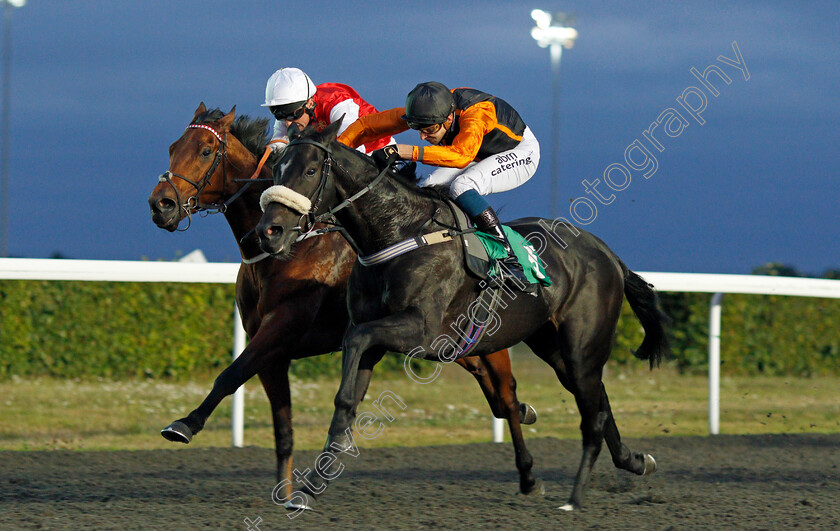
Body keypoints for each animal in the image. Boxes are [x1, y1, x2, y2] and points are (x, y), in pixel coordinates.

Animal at [146, 103, 540, 508]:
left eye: (206, 150)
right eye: (173, 148)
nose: (161, 204)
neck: (288, 251)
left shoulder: (282, 326)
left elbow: (231, 374)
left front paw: (184, 425)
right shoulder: (272, 349)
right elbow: (281, 424)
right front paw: (287, 493)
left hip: (486, 341)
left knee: (506, 397)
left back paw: (527, 470)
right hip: (456, 346)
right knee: (500, 399)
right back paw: (527, 417)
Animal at [254, 120, 668, 512]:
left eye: (310, 170)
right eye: (277, 169)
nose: (269, 232)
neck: (399, 233)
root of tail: (607, 253)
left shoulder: (419, 331)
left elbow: (354, 356)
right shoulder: (372, 332)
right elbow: (351, 393)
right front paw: (310, 487)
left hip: (581, 347)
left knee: (591, 416)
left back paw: (576, 497)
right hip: (553, 346)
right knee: (598, 401)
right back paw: (634, 461)